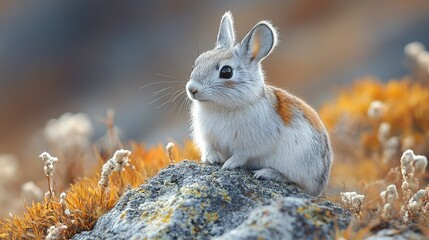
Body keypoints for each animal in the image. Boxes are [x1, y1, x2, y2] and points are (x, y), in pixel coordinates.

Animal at [185, 11, 332, 197]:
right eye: (196, 63)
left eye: (226, 72)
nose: (192, 89)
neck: (222, 106)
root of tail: (320, 185)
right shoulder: (207, 137)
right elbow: (208, 147)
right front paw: (211, 159)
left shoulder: (252, 143)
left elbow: (242, 154)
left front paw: (229, 164)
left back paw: (267, 173)